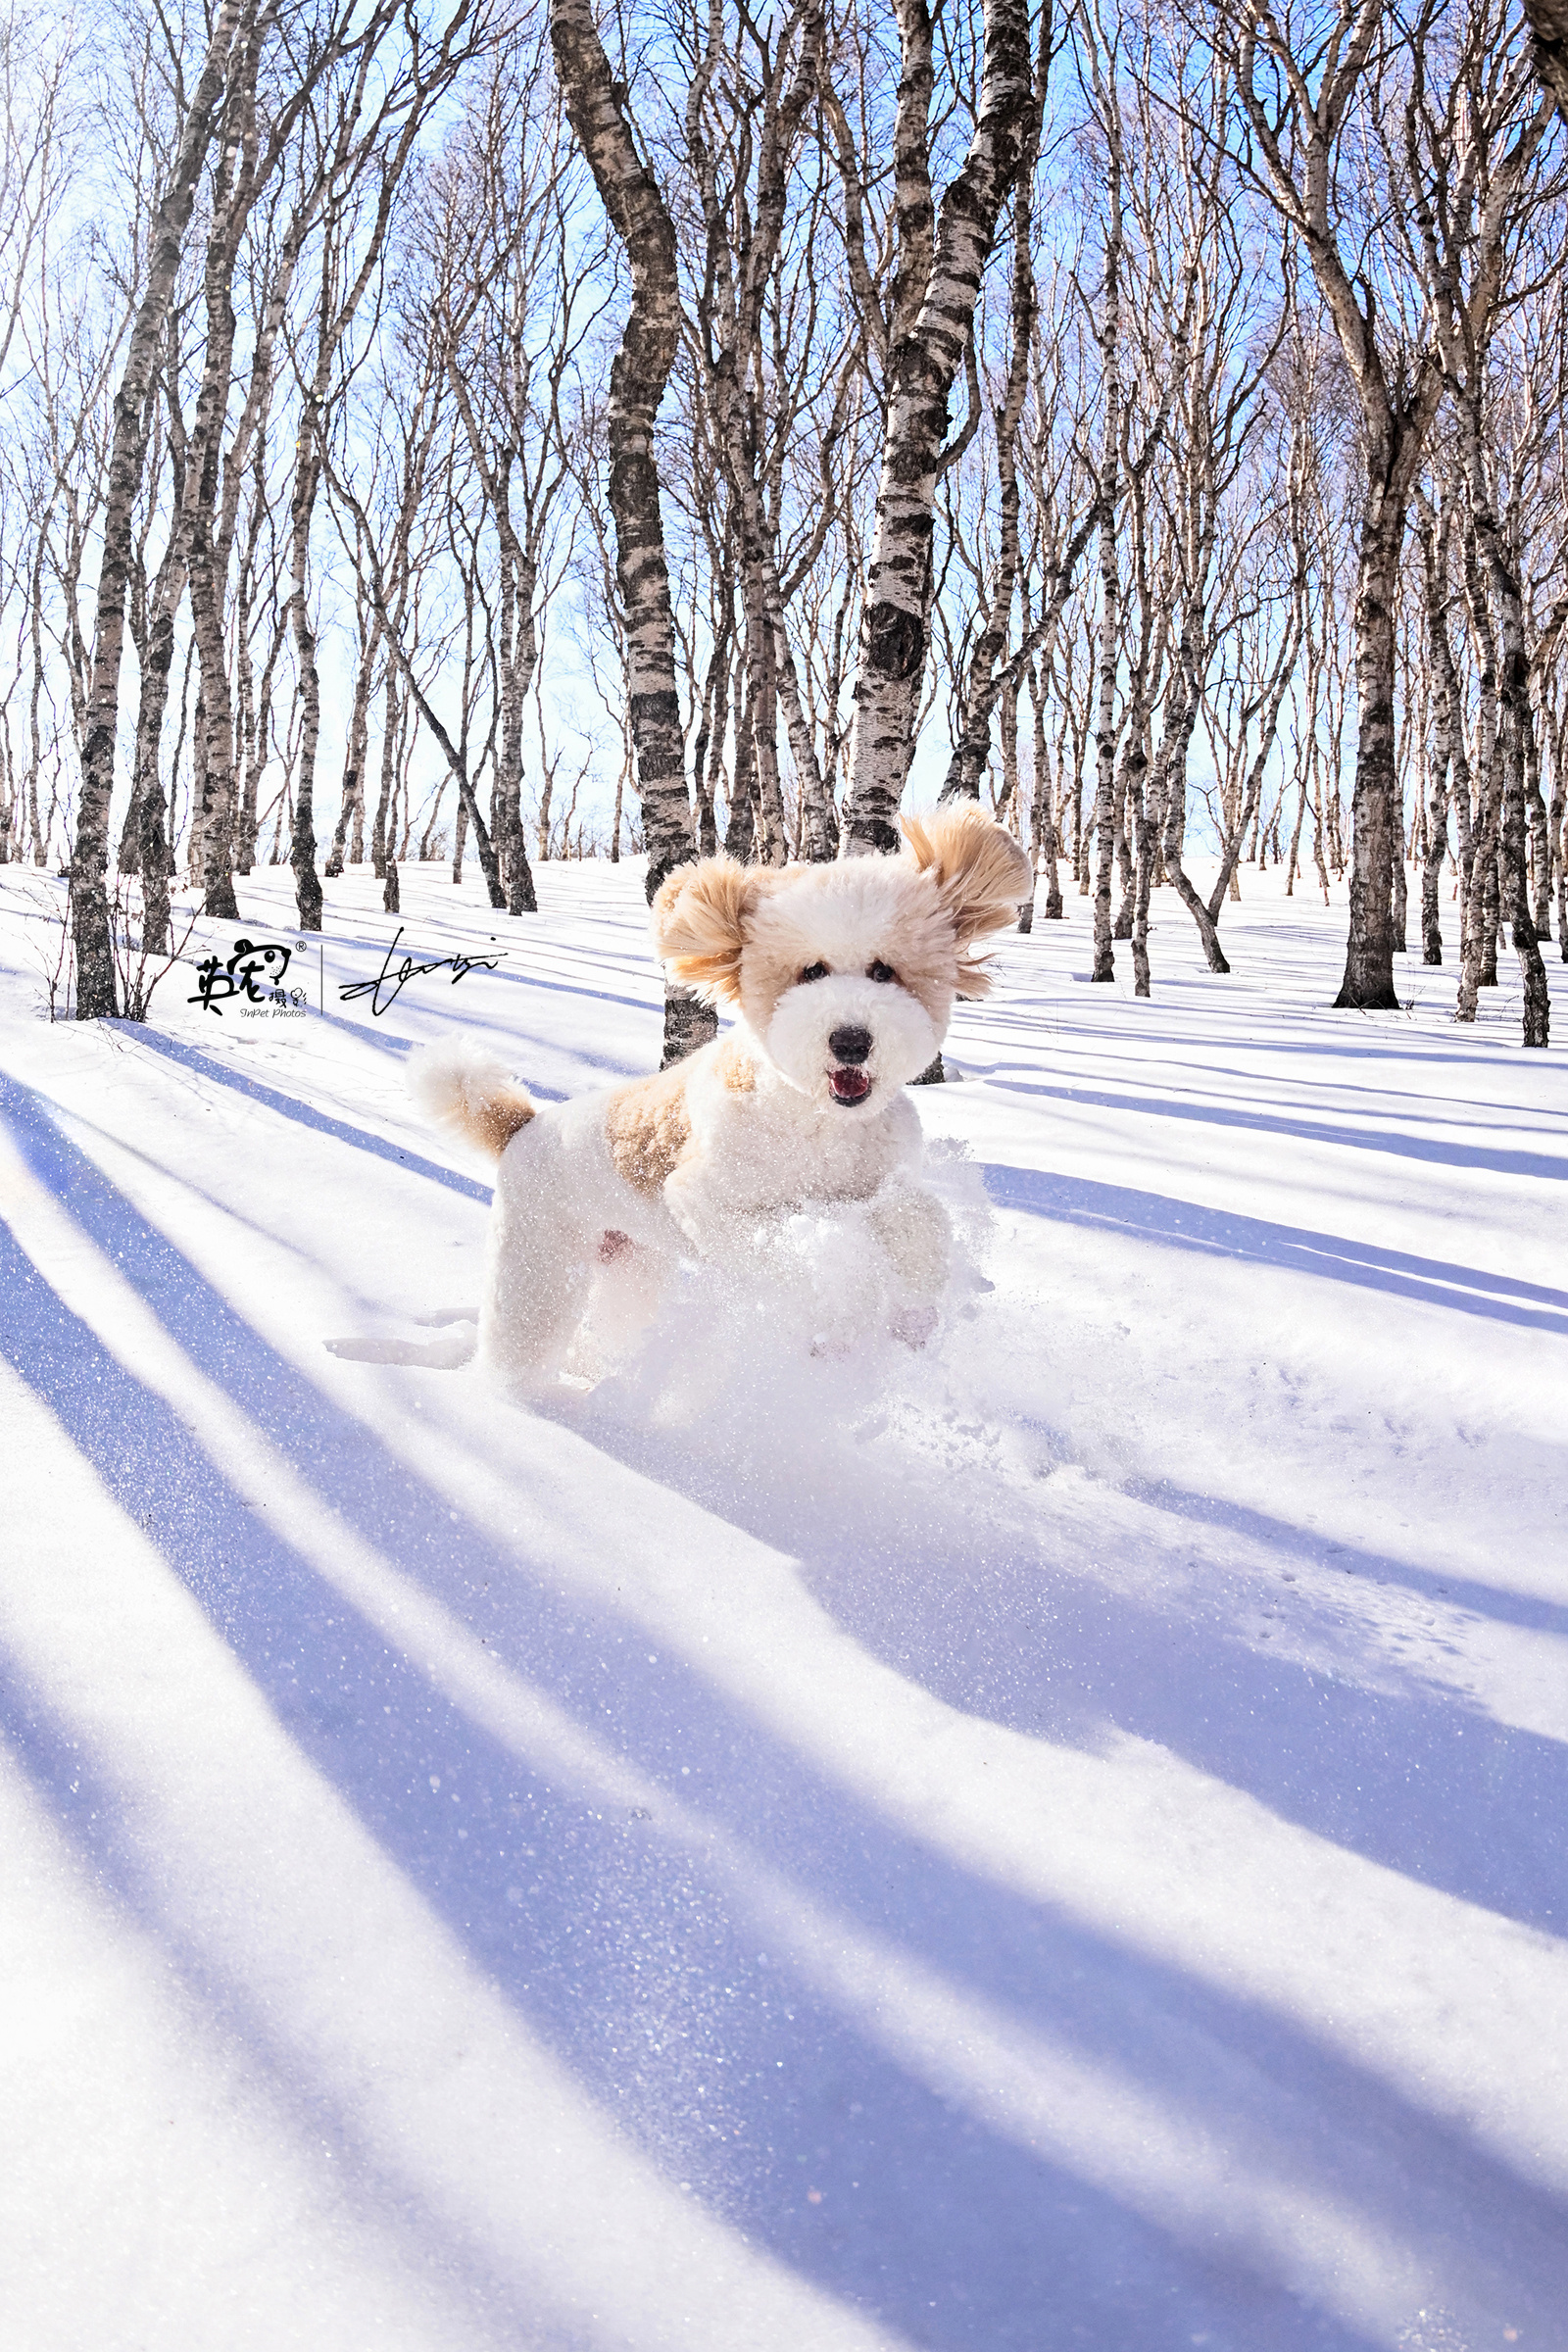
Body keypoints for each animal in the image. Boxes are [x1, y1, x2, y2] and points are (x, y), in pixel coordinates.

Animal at [411, 808, 1034, 1383]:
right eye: (811, 971)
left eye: (884, 970)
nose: (851, 1040)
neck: (813, 1120)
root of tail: (523, 1125)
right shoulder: (707, 1200)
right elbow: (782, 1261)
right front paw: (837, 1319)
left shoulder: (878, 1184)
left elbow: (920, 1219)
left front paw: (913, 1315)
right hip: (538, 1261)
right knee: (519, 1340)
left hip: (633, 1265)